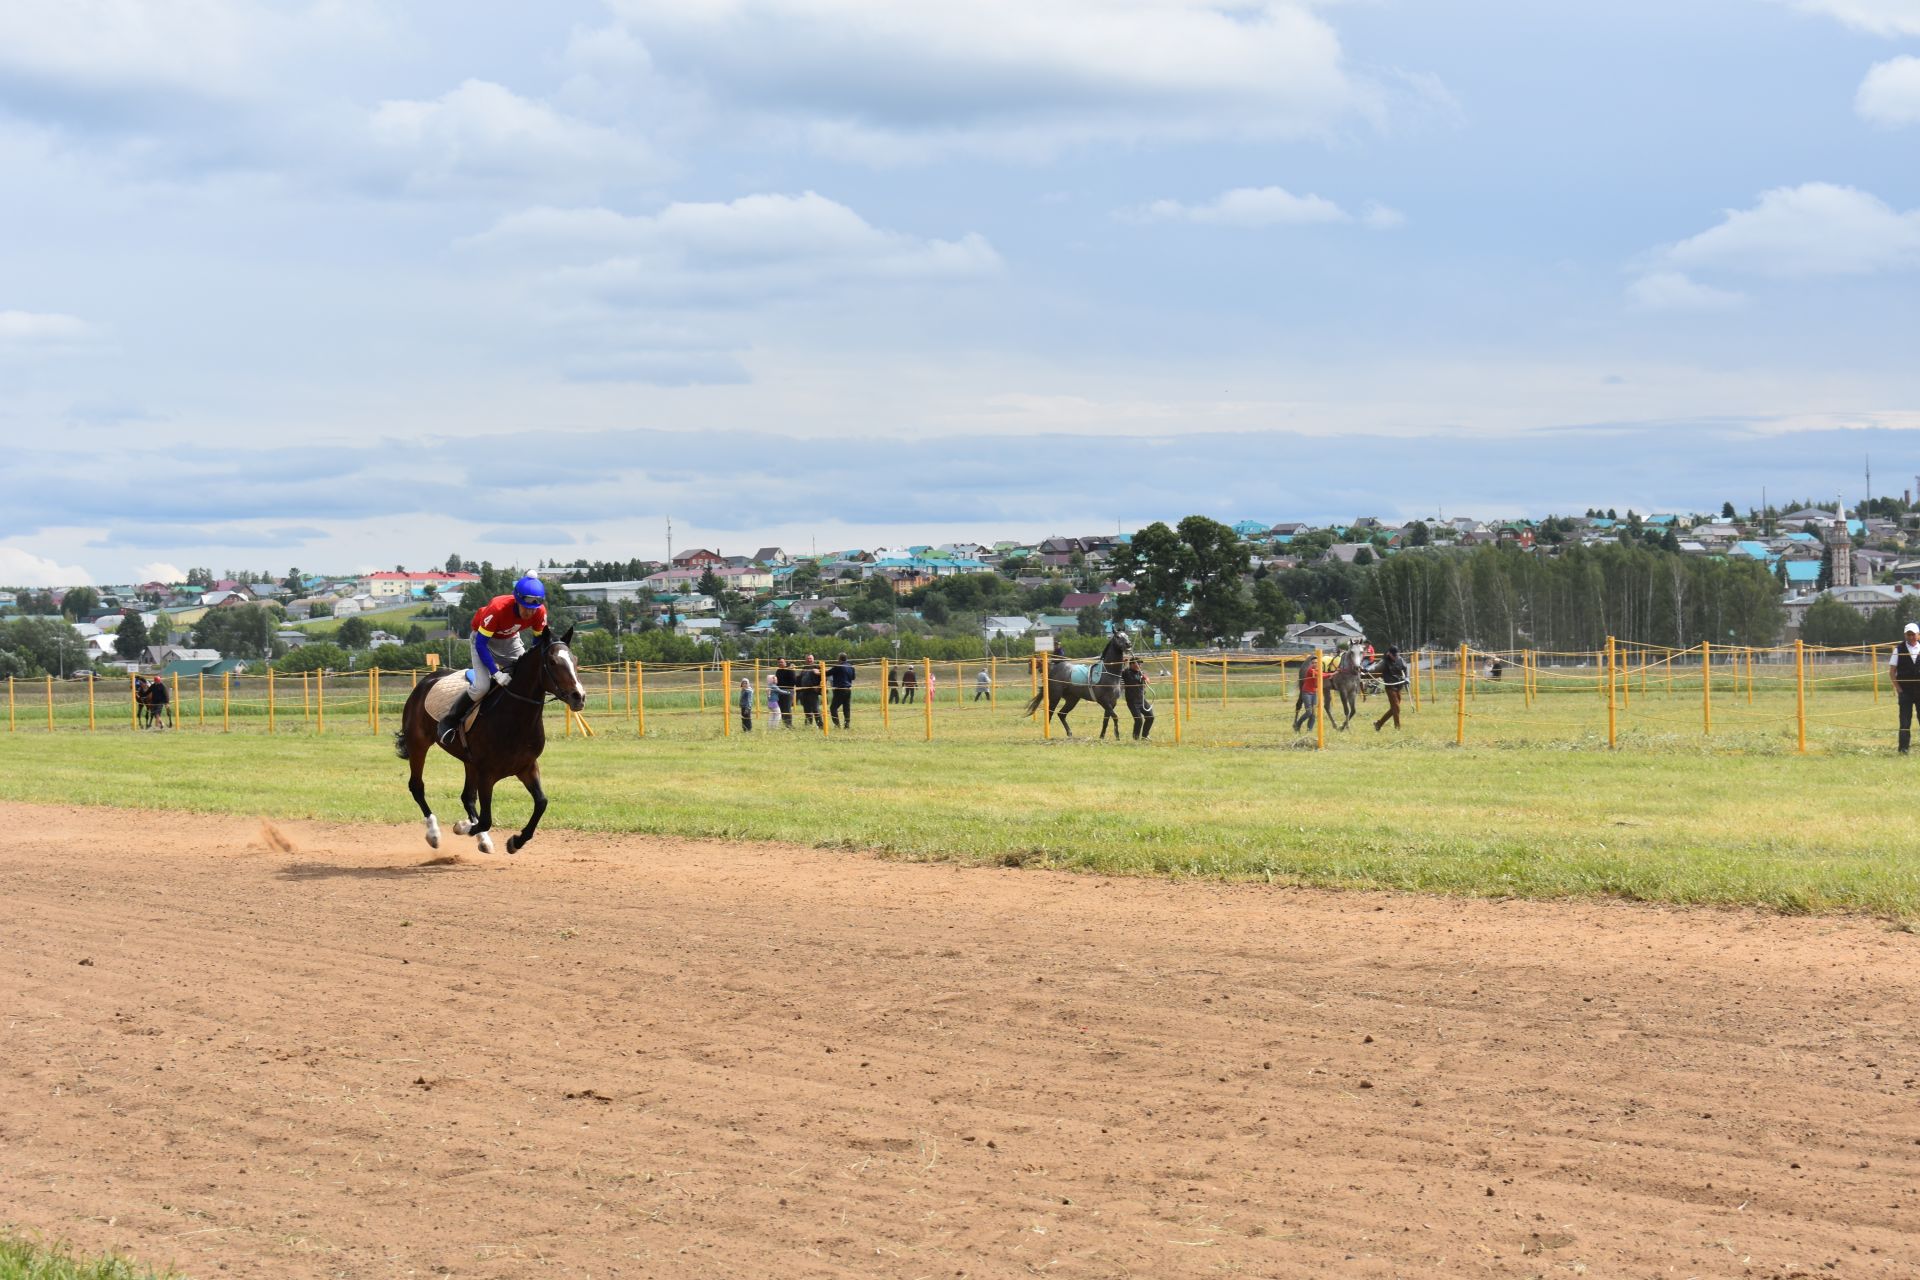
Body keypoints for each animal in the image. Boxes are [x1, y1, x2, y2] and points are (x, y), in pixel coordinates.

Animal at [393, 629, 587, 855]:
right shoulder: (487, 774)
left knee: (467, 797)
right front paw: (462, 826)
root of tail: (427, 680)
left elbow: (541, 802)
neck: (516, 717)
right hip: (418, 745)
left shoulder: (527, 767)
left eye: (575, 660)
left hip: (469, 762)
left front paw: (516, 841)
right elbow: (486, 820)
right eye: (553, 662)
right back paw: (434, 833)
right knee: (417, 787)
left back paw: (482, 840)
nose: (579, 696)